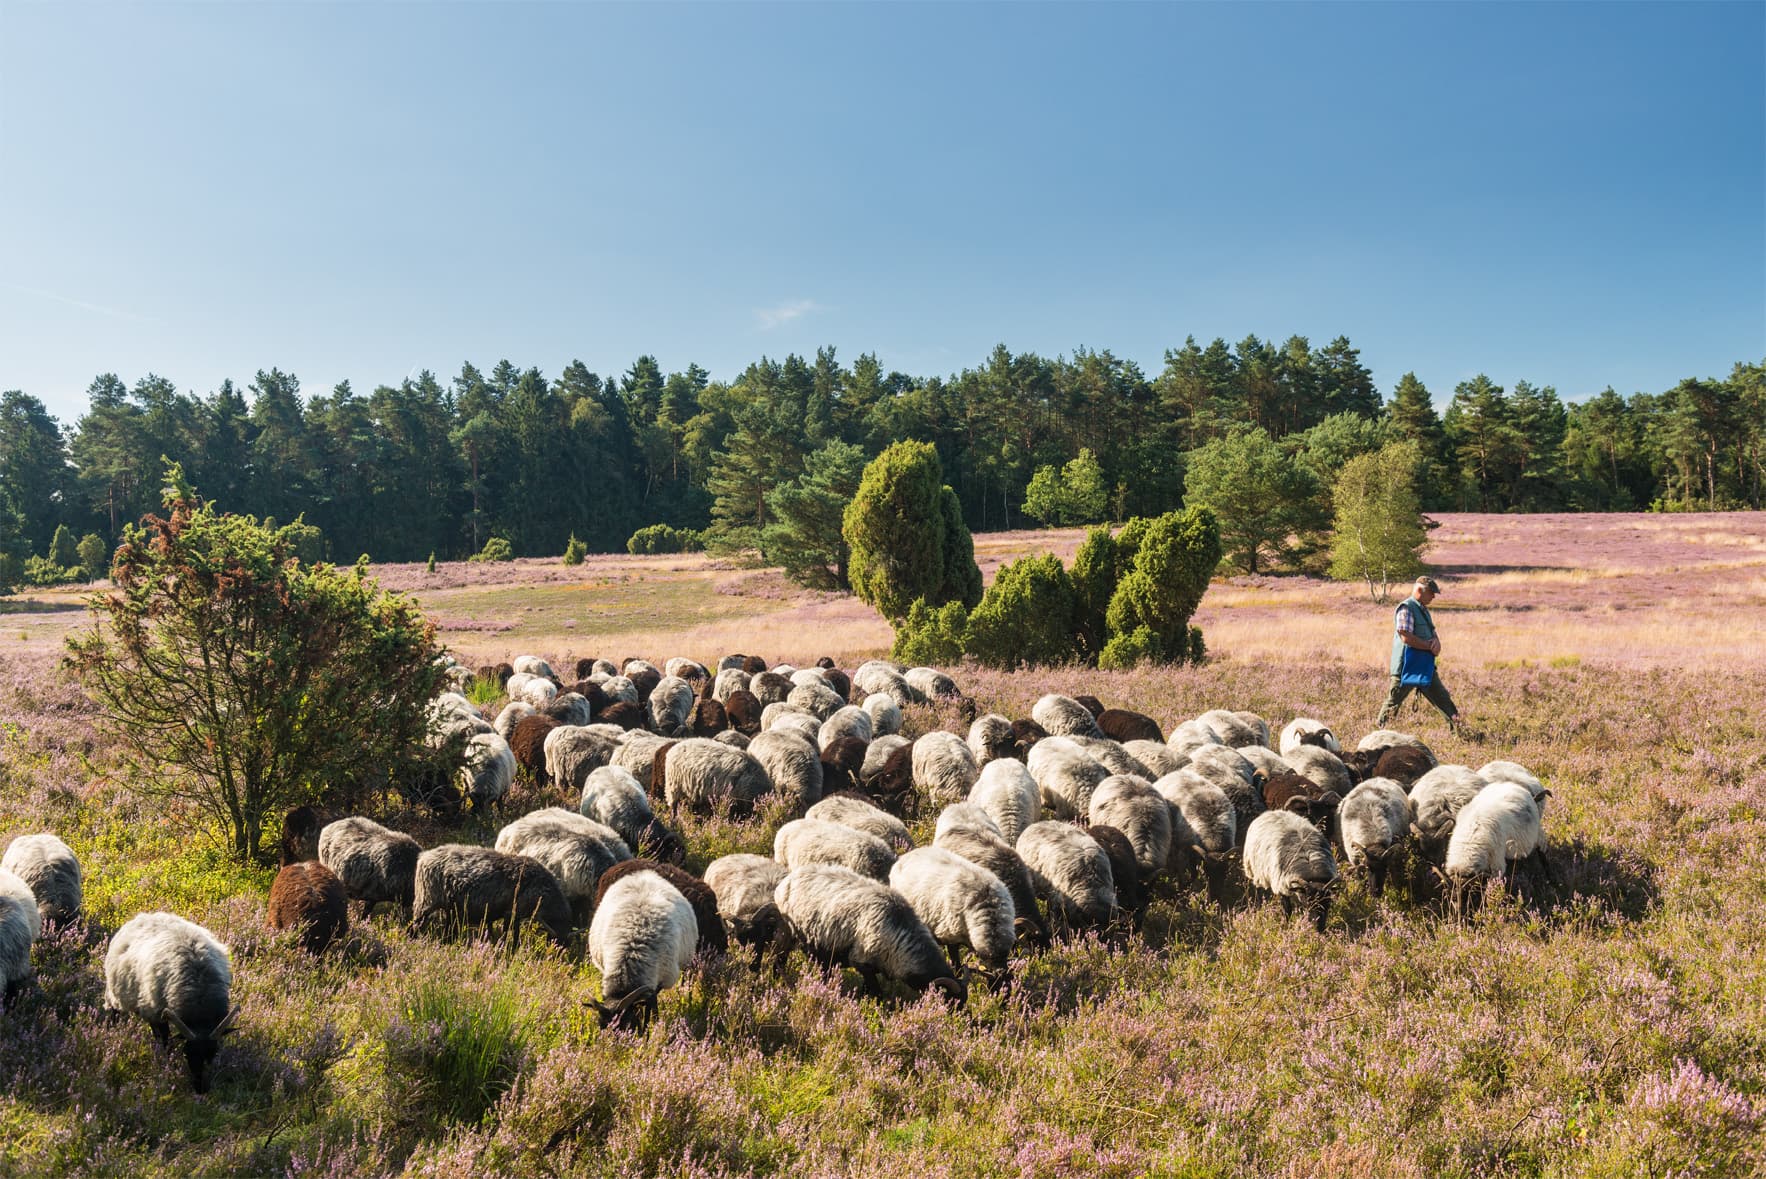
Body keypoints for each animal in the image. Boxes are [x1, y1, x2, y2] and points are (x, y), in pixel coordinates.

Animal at [103, 910, 238, 1094]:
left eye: (214, 1053)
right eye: (187, 1053)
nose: (201, 1090)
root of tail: (146, 915)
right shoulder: (156, 1014)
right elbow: (166, 1043)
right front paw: (169, 1066)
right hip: (116, 994)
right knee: (114, 1013)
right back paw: (110, 1032)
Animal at [777, 861, 967, 1002]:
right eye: (950, 1000)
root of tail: (787, 880)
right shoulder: (862, 962)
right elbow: (876, 992)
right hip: (789, 935)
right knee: (781, 959)